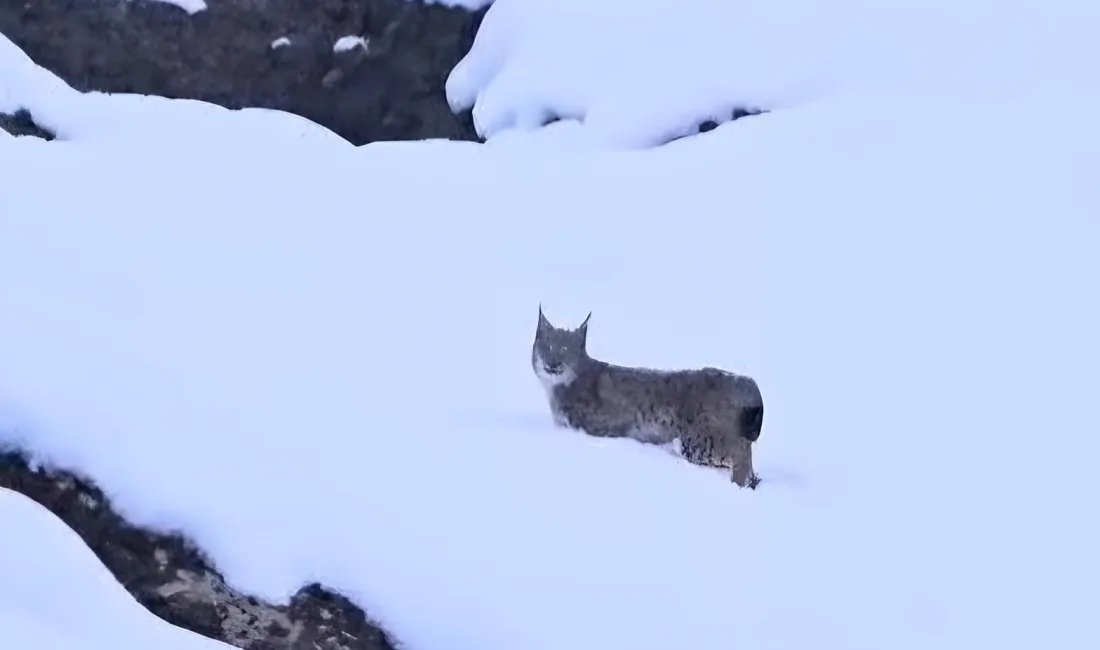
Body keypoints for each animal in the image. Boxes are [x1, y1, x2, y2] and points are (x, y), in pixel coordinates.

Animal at [532, 307, 765, 488]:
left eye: (565, 349)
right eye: (548, 346)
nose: (553, 364)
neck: (561, 385)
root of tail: (743, 379)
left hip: (698, 440)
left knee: (740, 451)